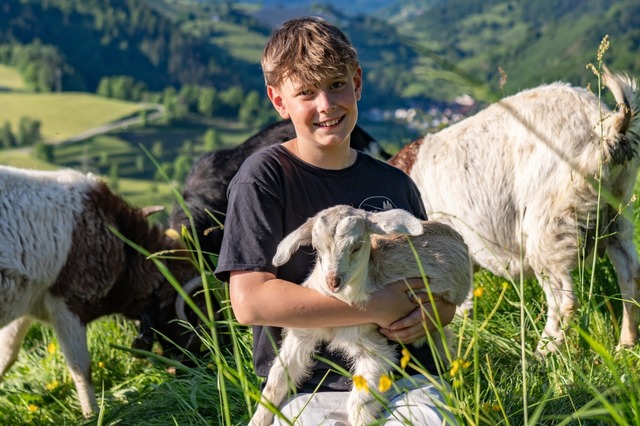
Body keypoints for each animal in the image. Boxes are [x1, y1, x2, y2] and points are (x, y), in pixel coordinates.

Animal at [0, 165, 213, 417]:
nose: (207, 366)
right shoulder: (68, 304)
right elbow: (81, 369)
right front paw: (92, 415)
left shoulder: (28, 302)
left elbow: (7, 353)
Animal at [249, 205, 473, 426]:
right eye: (317, 249)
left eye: (356, 247)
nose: (333, 282)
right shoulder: (302, 333)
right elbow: (276, 380)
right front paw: (258, 420)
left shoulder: (371, 347)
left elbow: (359, 404)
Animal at [388, 68, 640, 355]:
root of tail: (607, 129)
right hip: (618, 214)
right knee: (630, 276)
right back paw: (625, 345)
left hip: (549, 224)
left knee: (563, 299)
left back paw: (543, 353)